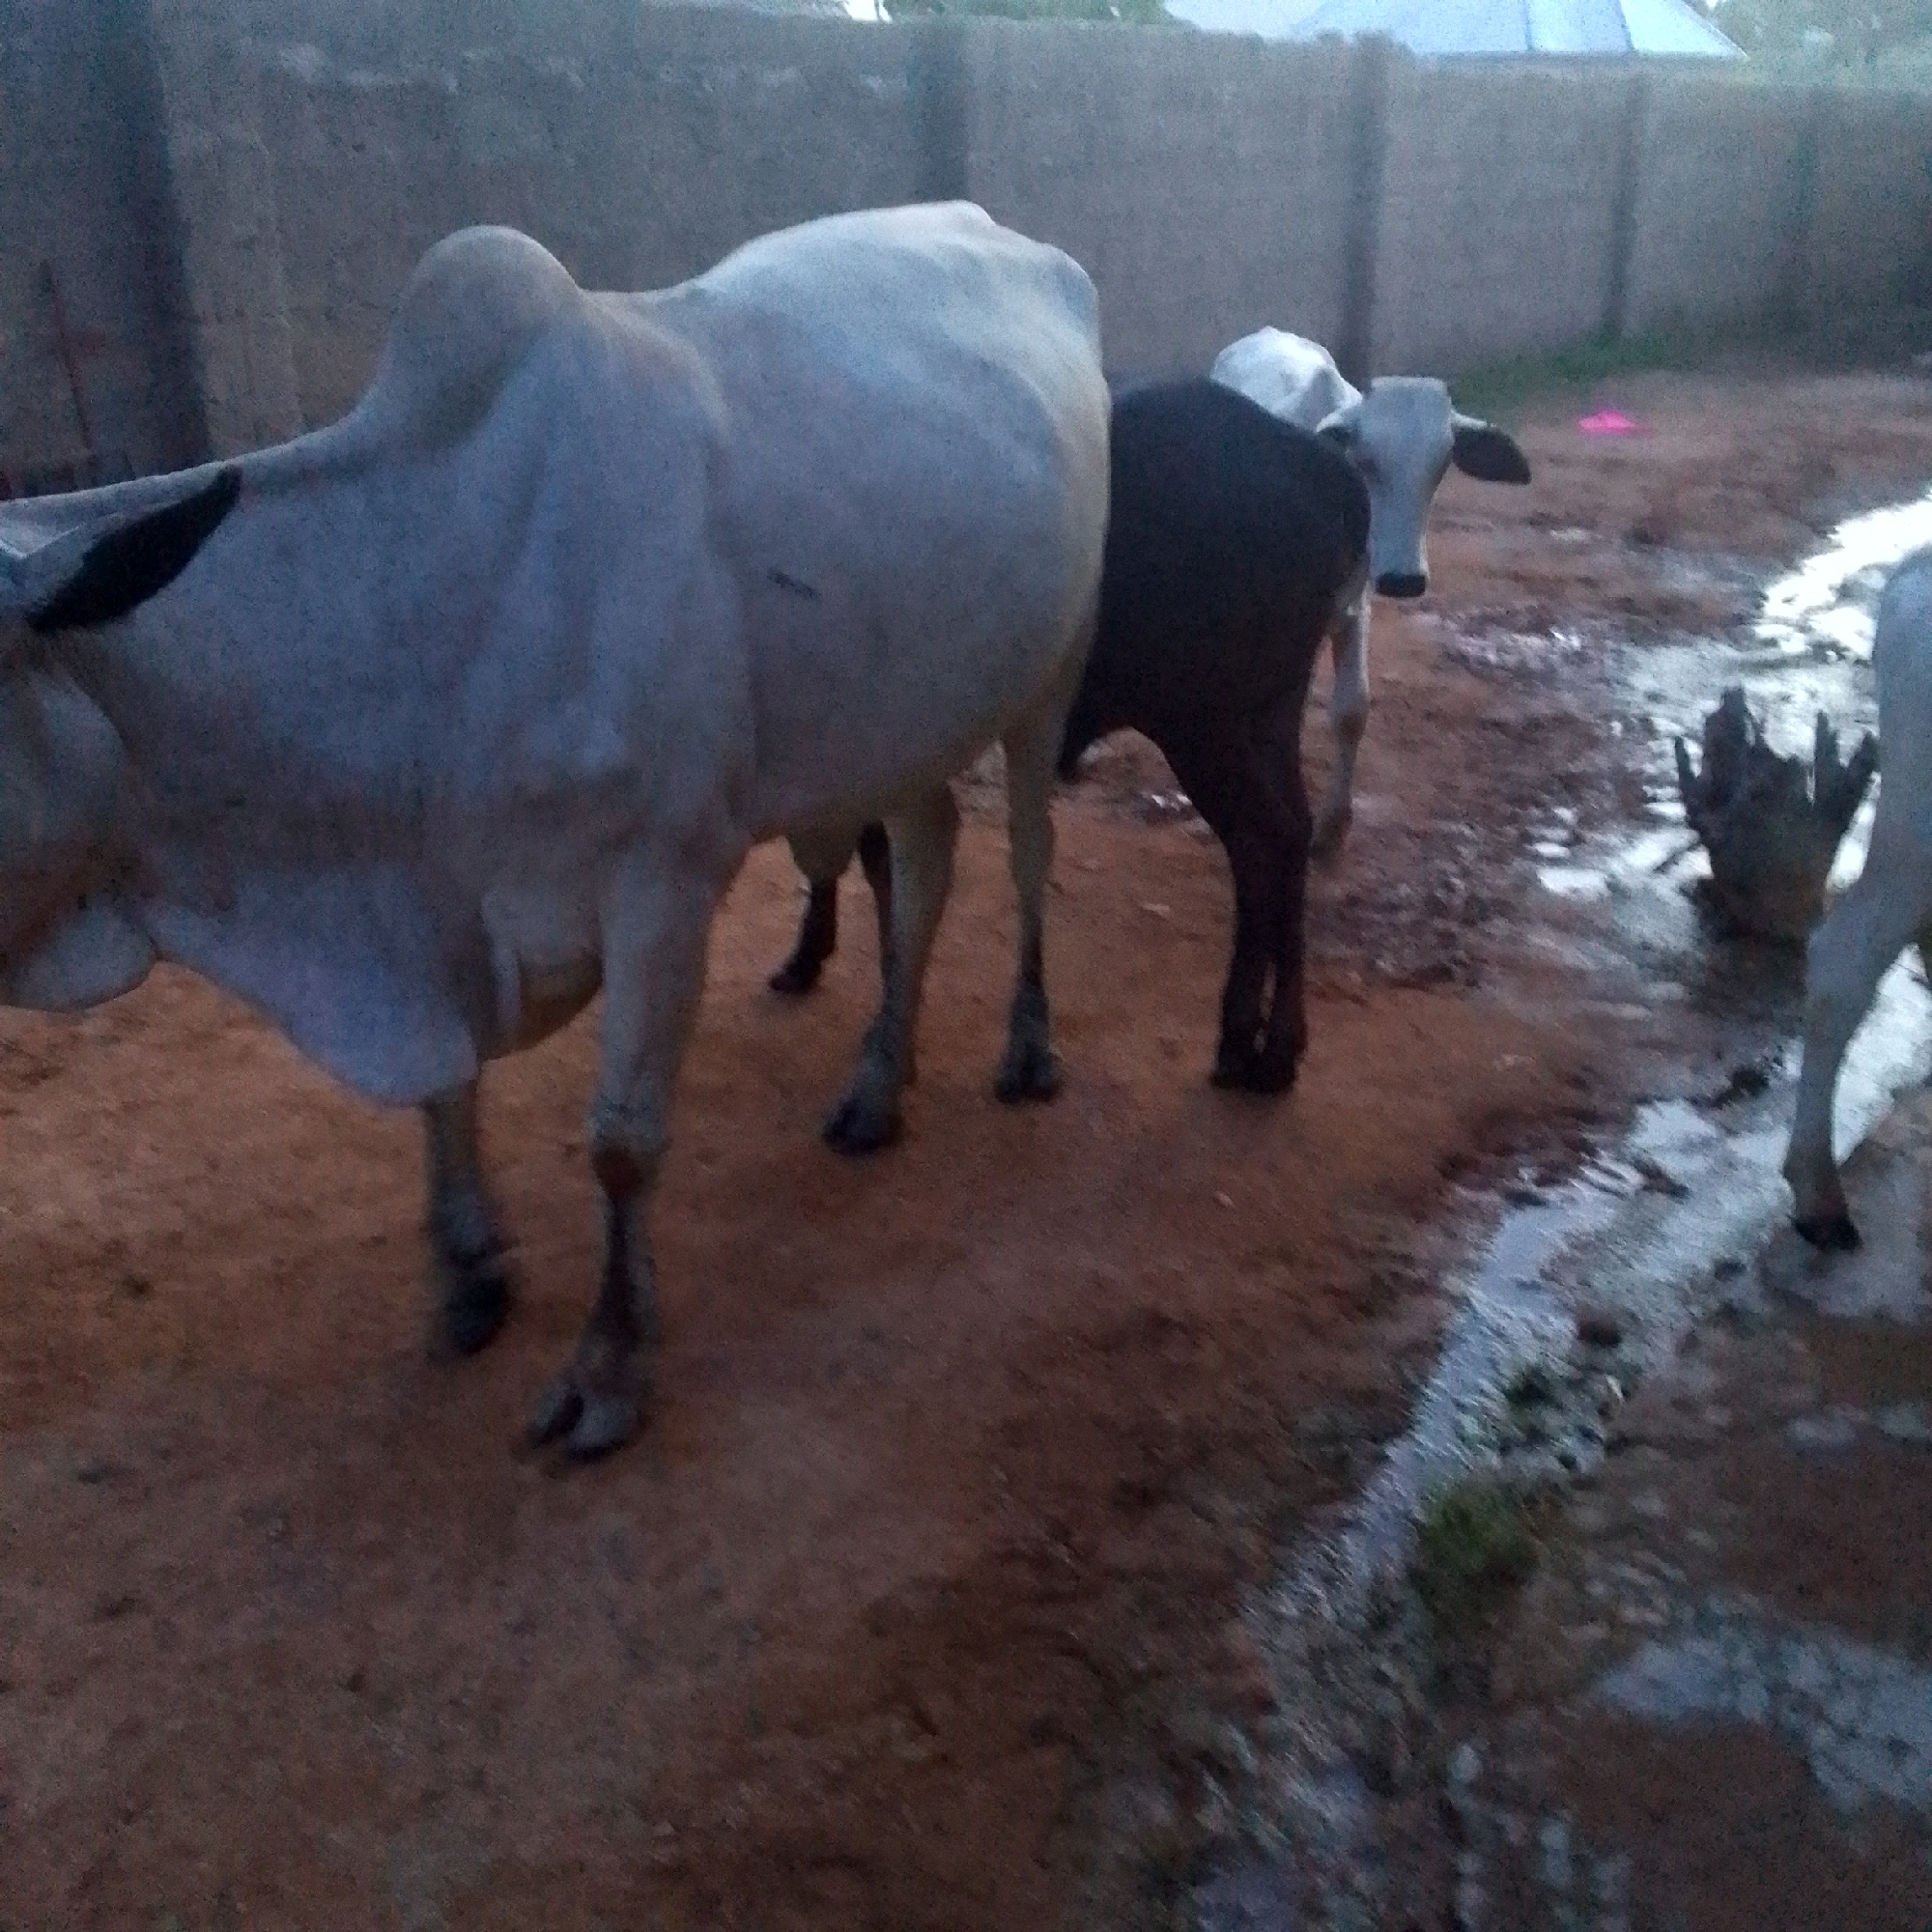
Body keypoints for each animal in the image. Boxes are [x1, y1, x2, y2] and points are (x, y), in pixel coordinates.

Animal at [0, 202, 1110, 1459]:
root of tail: (1015, 239)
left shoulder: (662, 881)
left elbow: (621, 1141)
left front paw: (608, 1363)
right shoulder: (440, 907)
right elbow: (447, 1092)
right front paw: (470, 1275)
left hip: (1049, 675)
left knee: (1024, 856)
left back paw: (1024, 1050)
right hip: (906, 724)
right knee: (925, 858)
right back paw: (879, 1082)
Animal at [768, 378, 1370, 1098]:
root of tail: (1305, 458)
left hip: (1204, 725)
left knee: (1264, 838)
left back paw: (1254, 1041)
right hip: (1268, 714)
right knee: (1290, 834)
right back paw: (1271, 1038)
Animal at [1208, 327, 1531, 857]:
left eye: (1442, 464)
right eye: (1366, 460)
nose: (1403, 579)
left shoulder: (1353, 606)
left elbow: (1351, 710)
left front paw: (1333, 825)